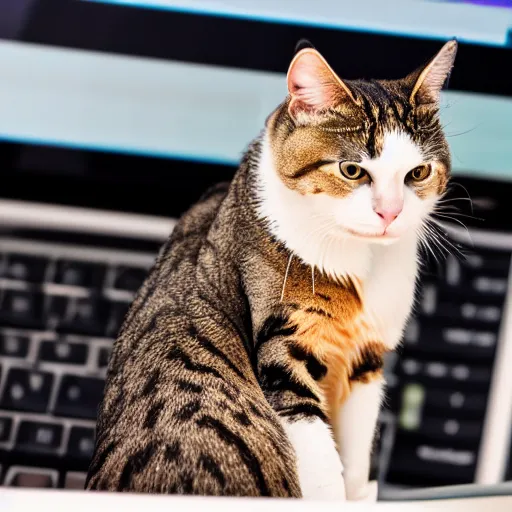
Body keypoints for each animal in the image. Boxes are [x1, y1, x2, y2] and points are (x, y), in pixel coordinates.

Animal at [86, 39, 458, 500]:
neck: (361, 259)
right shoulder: (285, 348)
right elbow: (316, 449)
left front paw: (359, 491)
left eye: (418, 172)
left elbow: (356, 449)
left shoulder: (367, 358)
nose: (390, 212)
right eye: (351, 170)